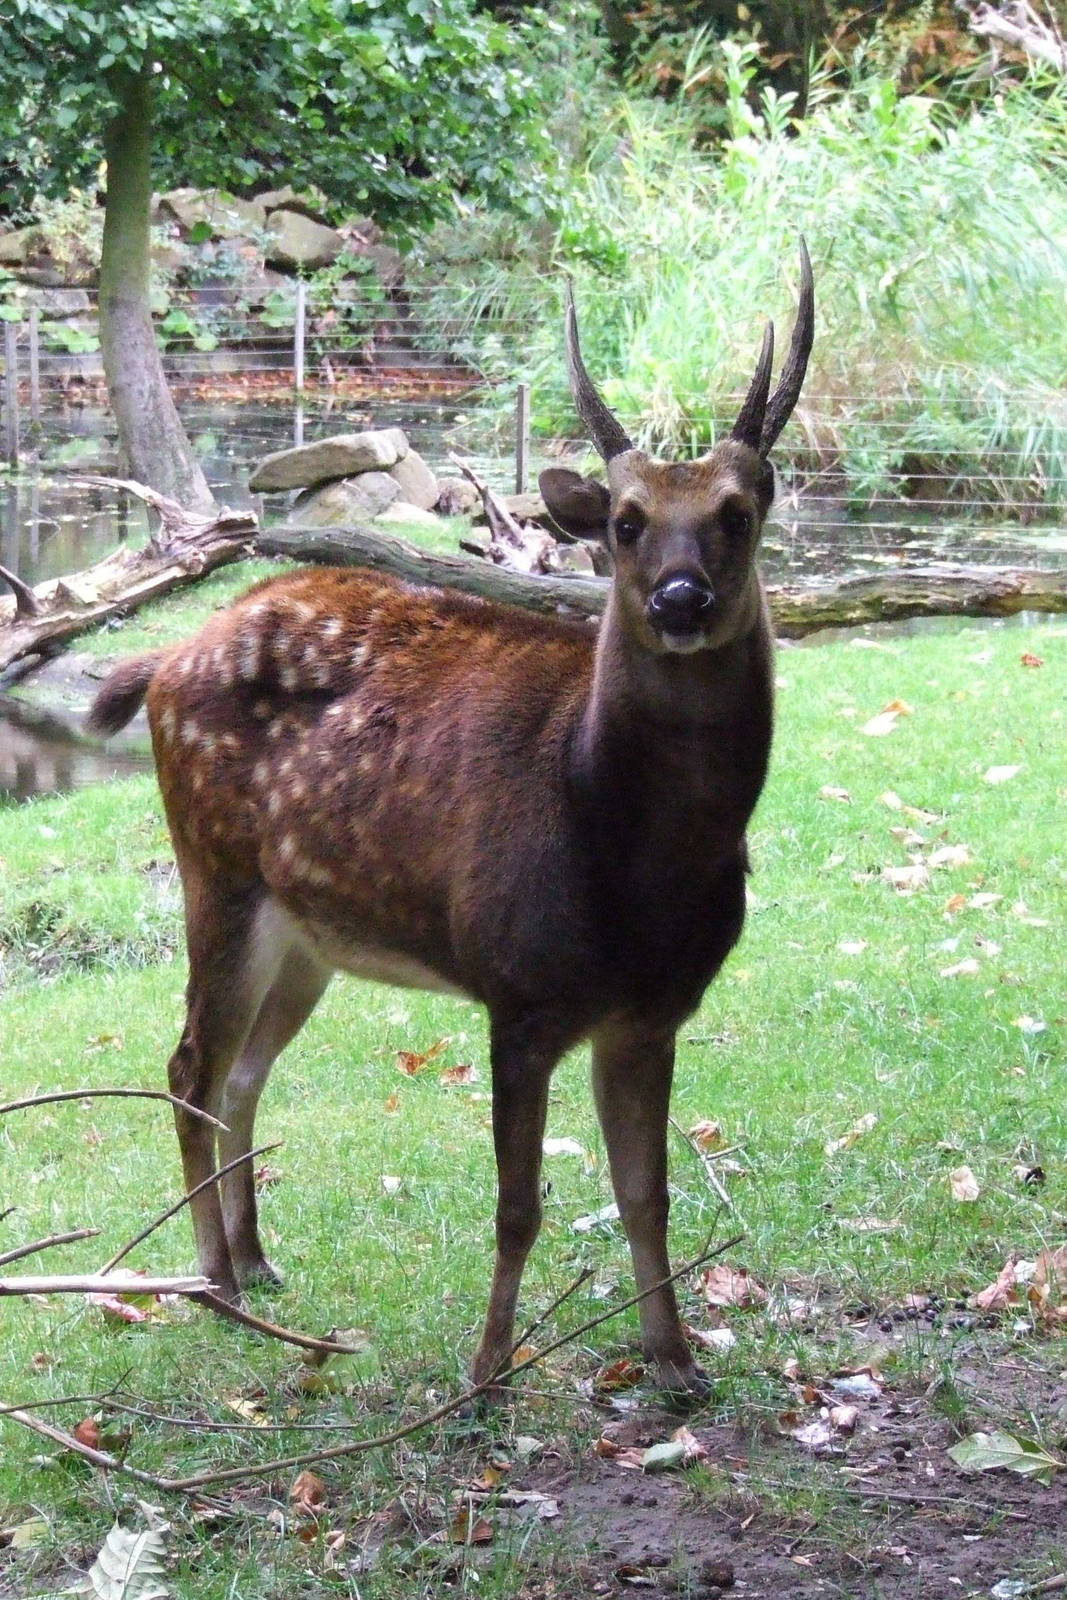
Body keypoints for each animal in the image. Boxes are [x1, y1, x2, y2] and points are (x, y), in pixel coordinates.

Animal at [88, 244, 813, 1399]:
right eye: (623, 521)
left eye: (738, 512)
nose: (681, 599)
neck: (625, 858)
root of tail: (161, 660)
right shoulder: (517, 988)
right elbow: (518, 1207)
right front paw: (486, 1374)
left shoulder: (652, 1012)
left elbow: (646, 1194)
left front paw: (675, 1363)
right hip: (214, 869)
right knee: (189, 1064)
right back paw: (216, 1281)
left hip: (309, 931)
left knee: (242, 1070)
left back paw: (260, 1257)